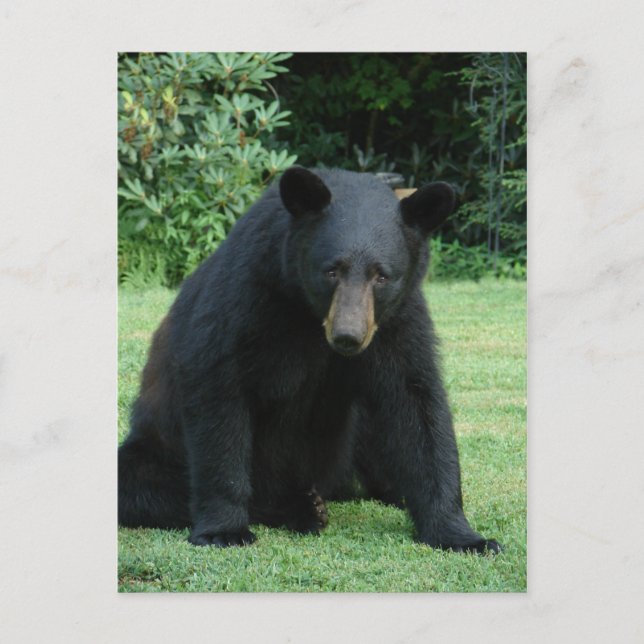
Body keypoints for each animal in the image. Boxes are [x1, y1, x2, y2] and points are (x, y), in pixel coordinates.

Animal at [118, 167, 500, 553]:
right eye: (331, 270)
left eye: (381, 275)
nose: (348, 336)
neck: (308, 314)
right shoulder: (246, 297)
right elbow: (219, 391)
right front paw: (223, 530)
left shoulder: (396, 320)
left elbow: (416, 405)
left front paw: (463, 535)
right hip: (158, 449)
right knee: (141, 486)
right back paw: (303, 508)